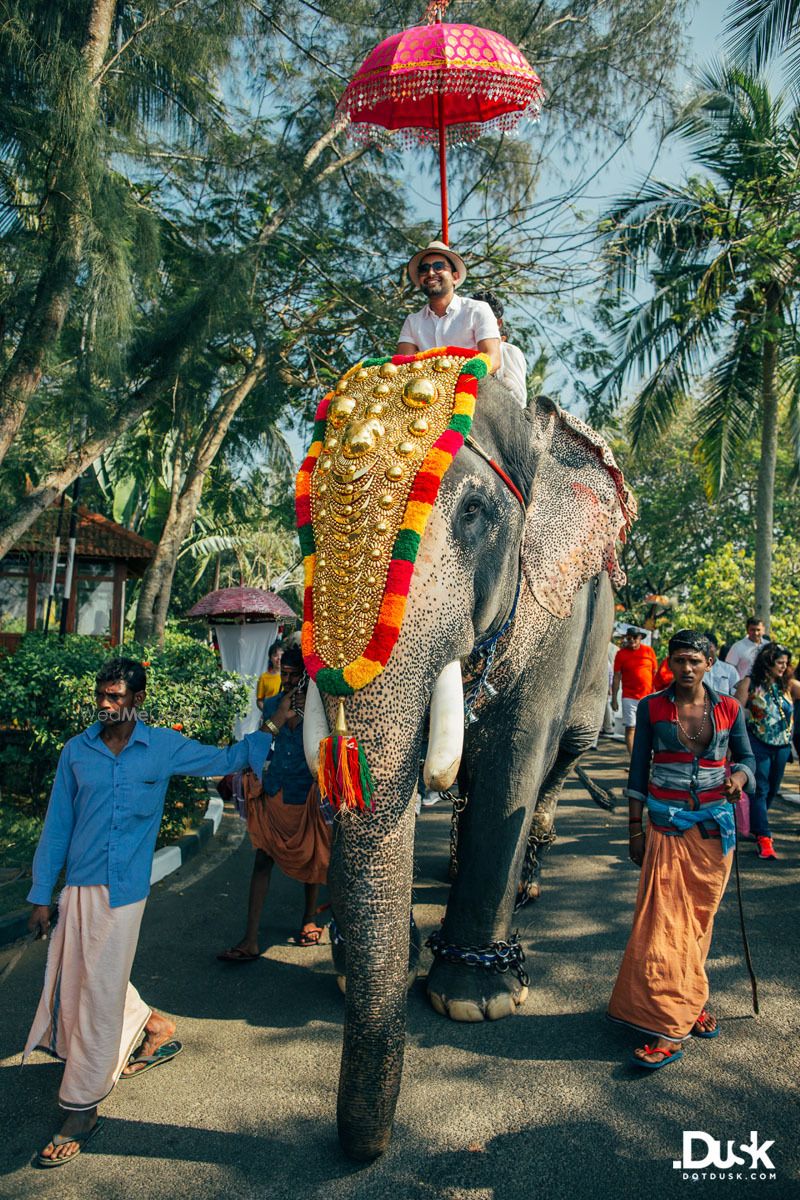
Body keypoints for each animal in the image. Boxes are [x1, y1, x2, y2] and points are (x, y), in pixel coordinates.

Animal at [297, 348, 633, 1161]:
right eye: (306, 525)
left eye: (475, 513)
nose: (365, 1151)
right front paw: (363, 969)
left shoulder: (554, 606)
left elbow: (516, 753)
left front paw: (473, 1002)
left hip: (598, 661)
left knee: (559, 760)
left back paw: (529, 887)